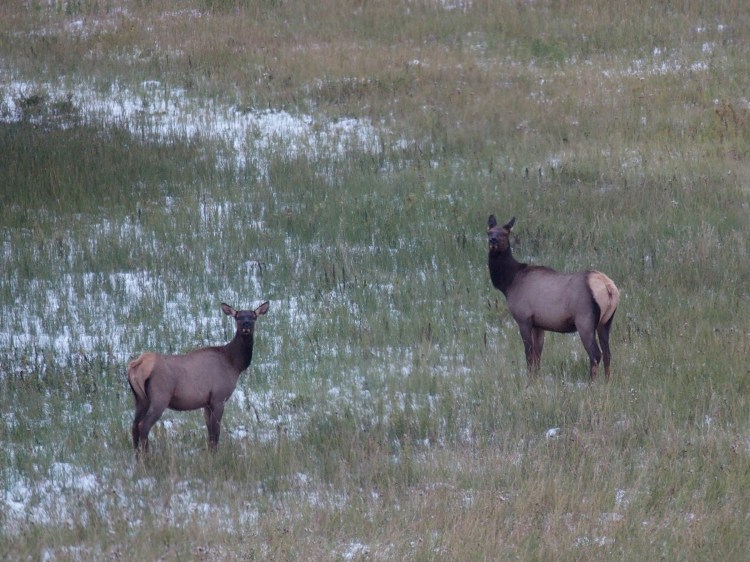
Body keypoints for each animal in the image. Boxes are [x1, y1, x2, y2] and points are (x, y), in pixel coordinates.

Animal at [127, 301, 269, 454]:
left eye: (253, 317)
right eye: (238, 317)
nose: (246, 325)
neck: (234, 364)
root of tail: (137, 366)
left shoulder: (207, 402)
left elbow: (210, 433)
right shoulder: (219, 398)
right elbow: (216, 433)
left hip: (140, 399)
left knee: (134, 426)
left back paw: (137, 456)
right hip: (160, 397)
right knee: (143, 425)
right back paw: (147, 457)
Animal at [487, 215, 620, 380]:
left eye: (505, 233)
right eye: (489, 231)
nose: (493, 240)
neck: (509, 282)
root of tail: (609, 288)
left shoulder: (524, 318)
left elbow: (529, 355)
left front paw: (529, 380)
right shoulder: (539, 324)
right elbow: (538, 355)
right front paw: (536, 379)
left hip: (585, 320)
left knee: (595, 354)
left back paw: (591, 383)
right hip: (606, 321)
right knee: (608, 353)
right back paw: (607, 382)